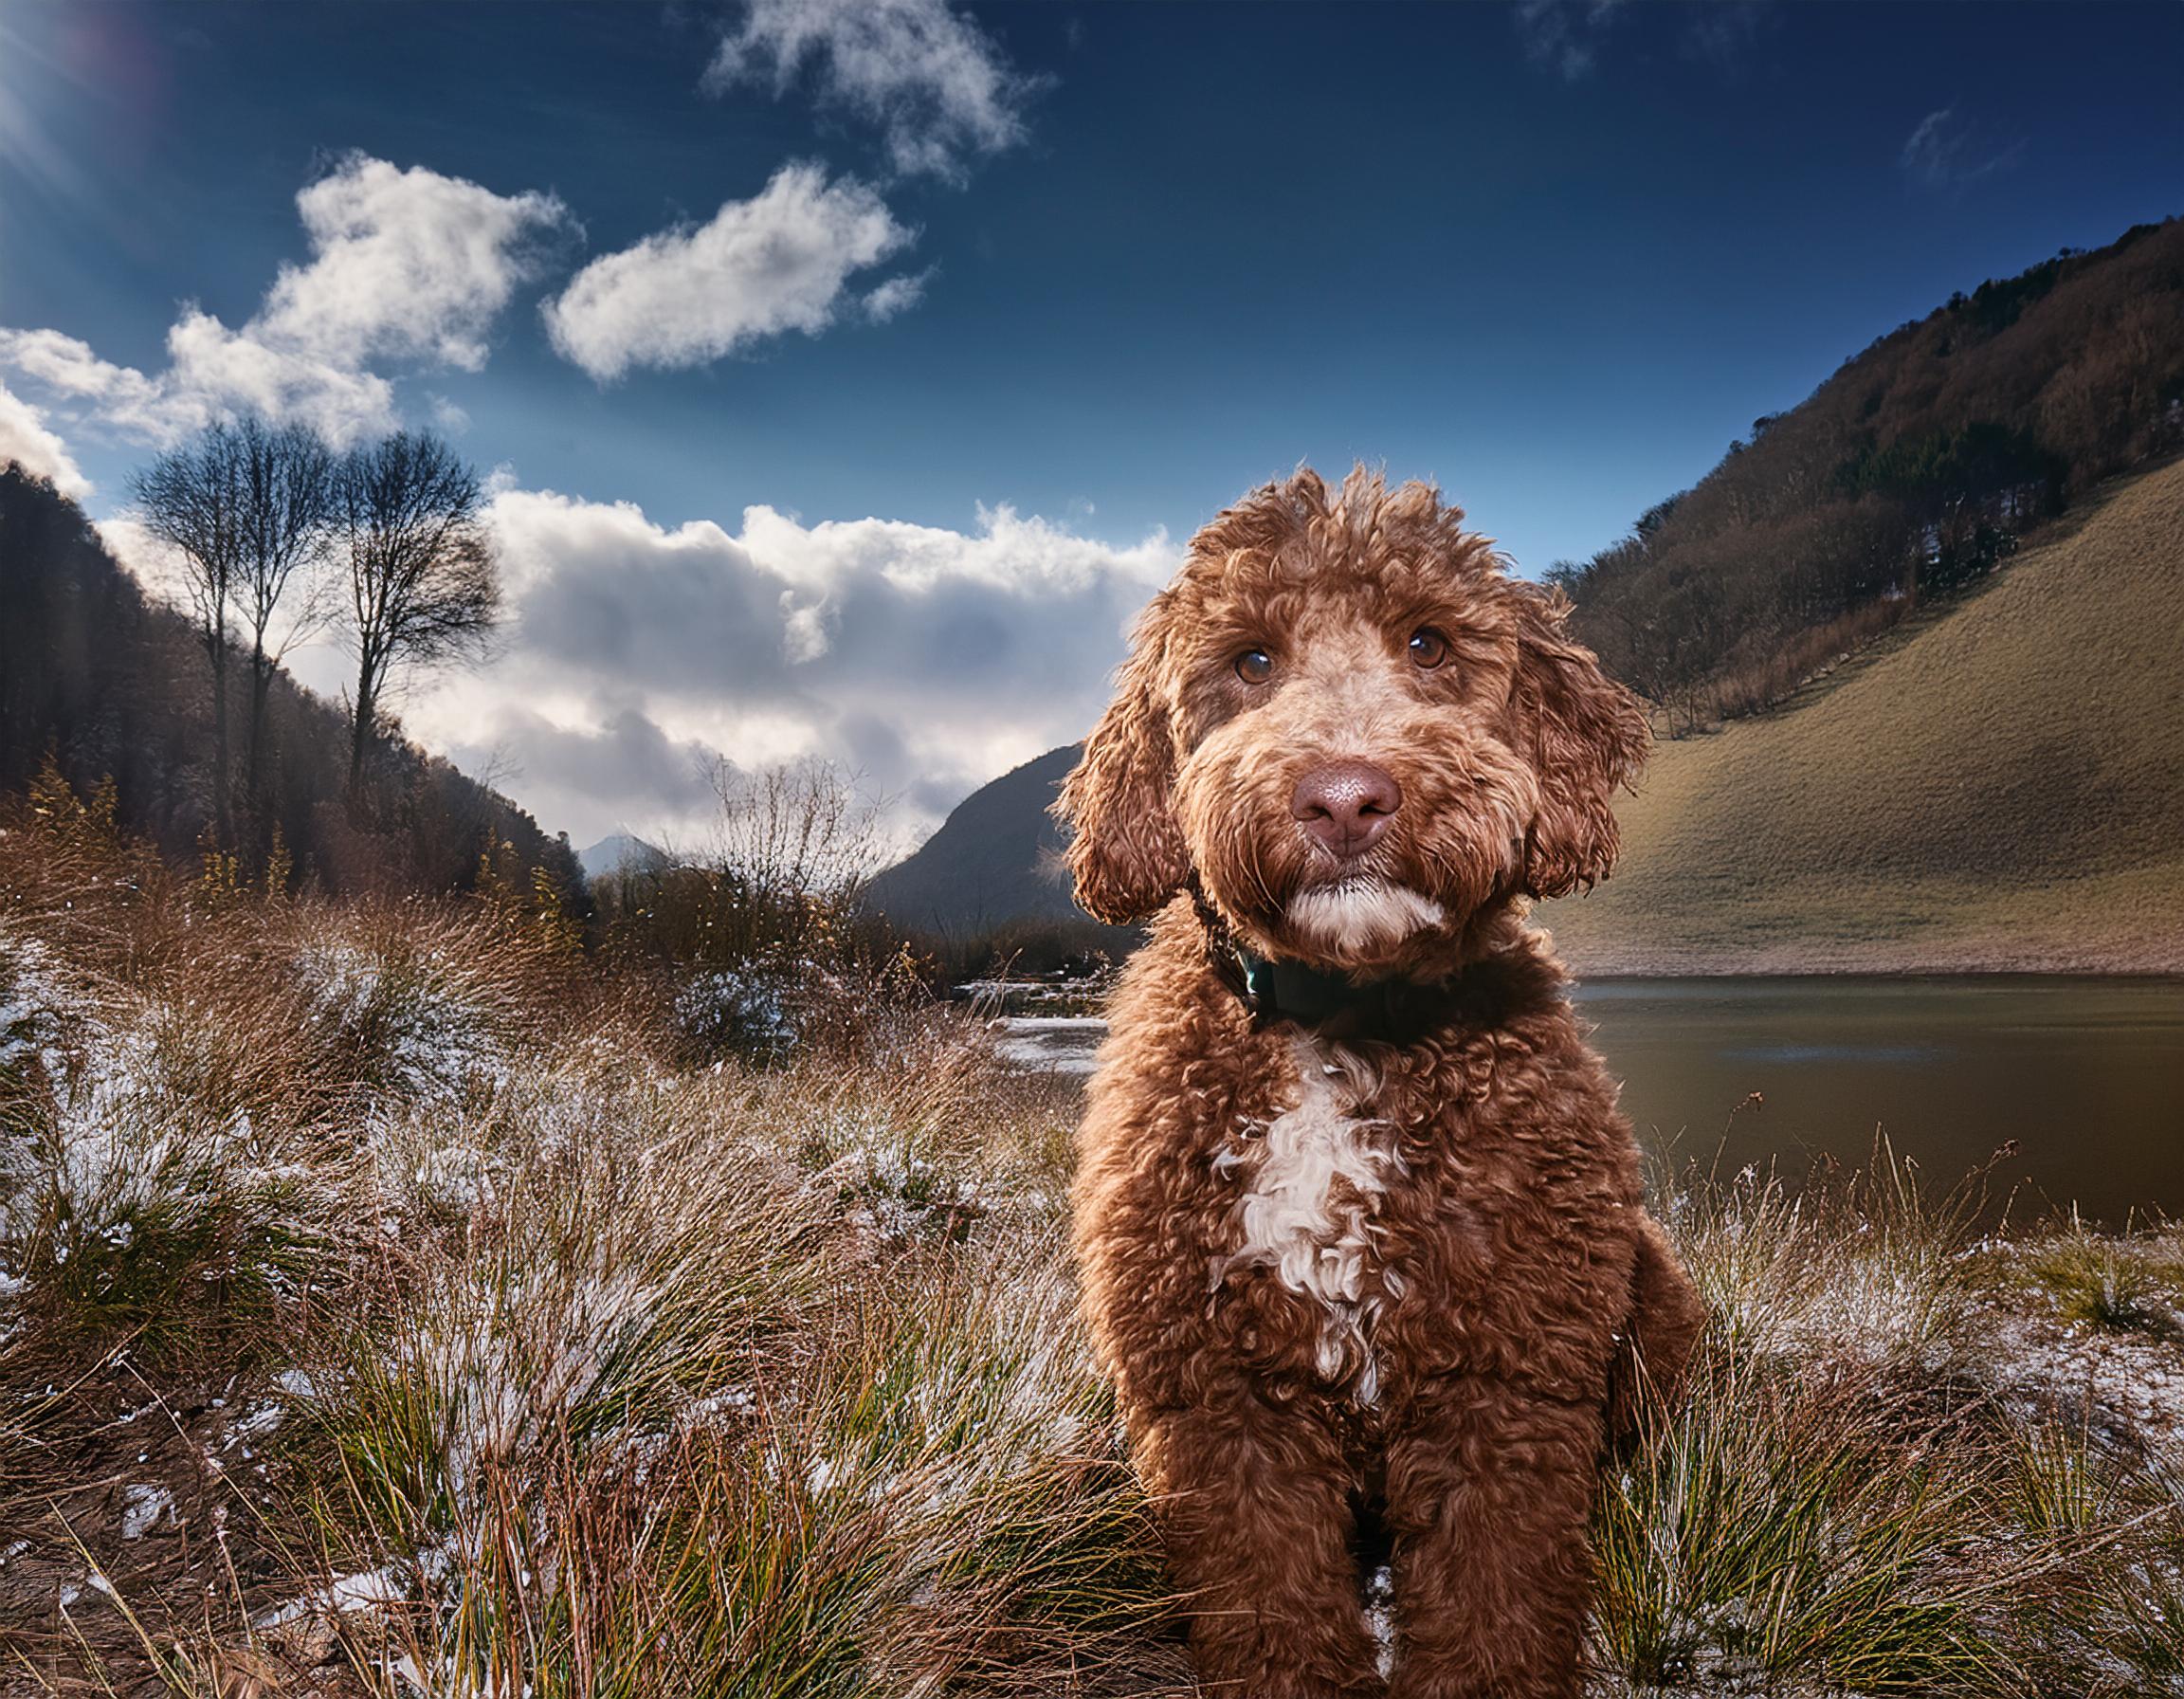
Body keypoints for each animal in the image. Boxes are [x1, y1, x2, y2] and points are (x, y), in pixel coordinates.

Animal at [1057, 463, 1703, 1694]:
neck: (1342, 1021)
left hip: (1653, 1308)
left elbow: (1494, 1605)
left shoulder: (1506, 1389)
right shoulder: (1222, 1407)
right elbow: (1273, 1613)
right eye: (1251, 659)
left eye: (1429, 642)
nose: (1346, 797)